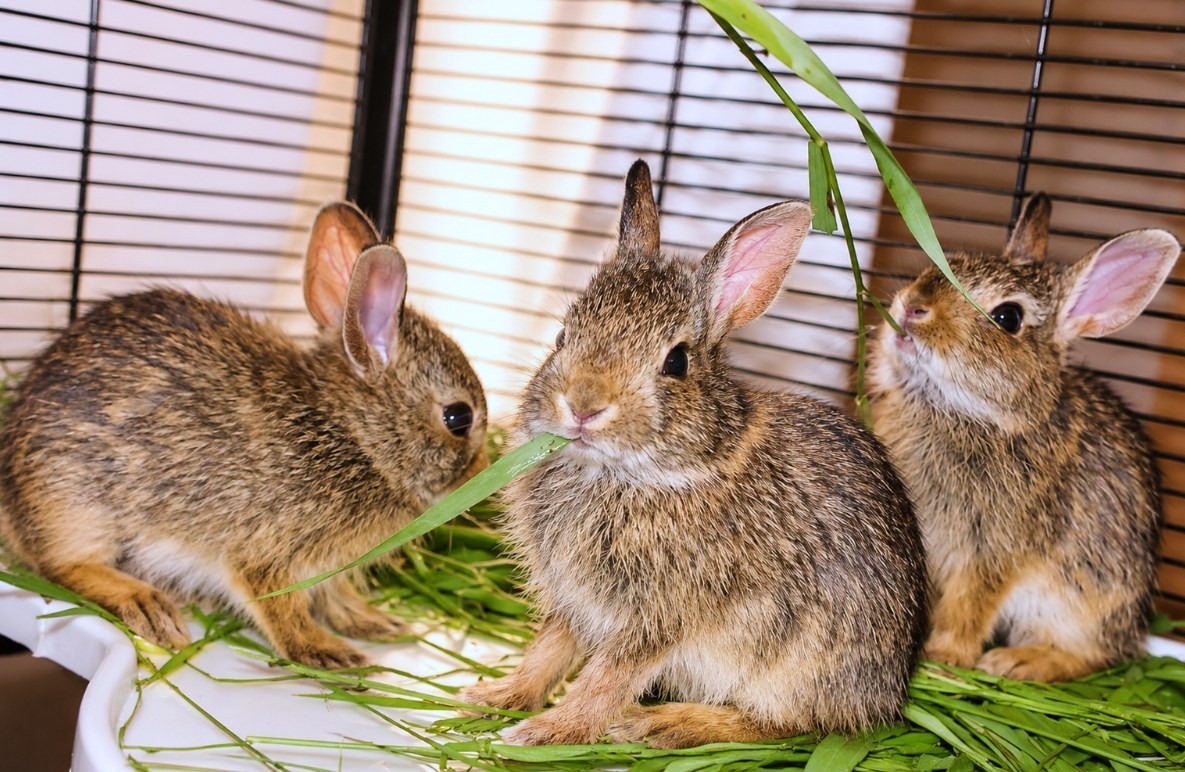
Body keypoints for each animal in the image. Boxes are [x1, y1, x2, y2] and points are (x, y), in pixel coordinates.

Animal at [0, 202, 489, 670]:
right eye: (458, 418)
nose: (484, 475)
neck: (354, 435)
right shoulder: (265, 551)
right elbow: (279, 606)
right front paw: (326, 652)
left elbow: (333, 597)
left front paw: (374, 622)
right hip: (75, 507)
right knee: (63, 564)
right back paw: (147, 604)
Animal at [458, 160, 928, 749]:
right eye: (563, 335)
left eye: (677, 362)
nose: (583, 406)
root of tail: (890, 694)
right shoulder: (575, 603)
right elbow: (549, 650)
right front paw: (497, 697)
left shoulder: (657, 616)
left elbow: (607, 679)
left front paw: (547, 731)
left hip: (796, 666)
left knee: (785, 725)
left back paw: (665, 723)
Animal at [869, 193, 1179, 682]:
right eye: (948, 261)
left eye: (1007, 317)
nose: (911, 307)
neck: (979, 417)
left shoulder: (993, 551)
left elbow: (970, 604)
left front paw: (945, 658)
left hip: (1077, 604)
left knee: (1092, 655)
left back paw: (1017, 662)